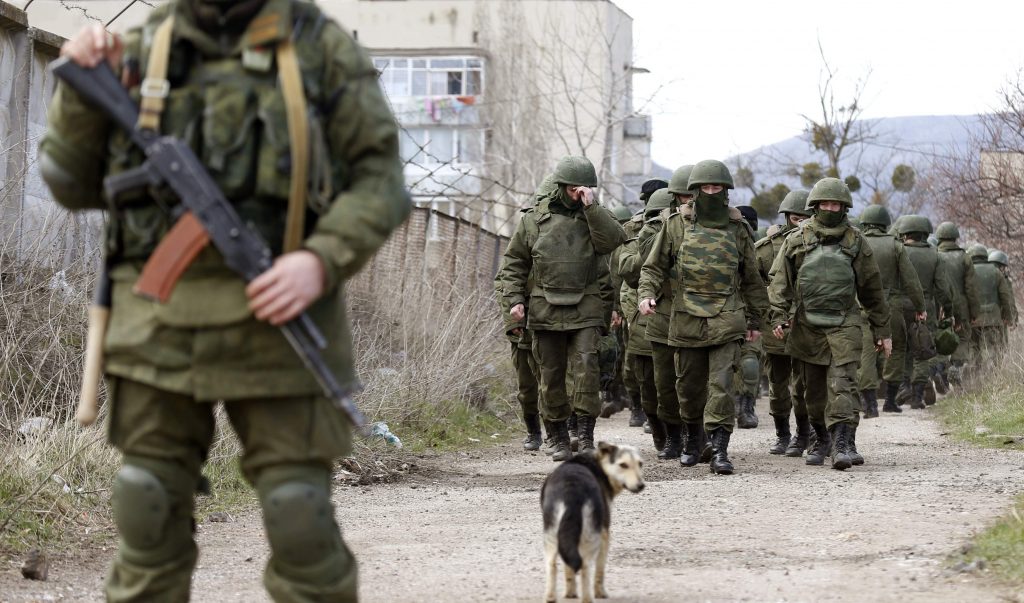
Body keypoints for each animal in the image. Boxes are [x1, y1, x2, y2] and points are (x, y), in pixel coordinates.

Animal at [540, 440, 643, 597]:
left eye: (640, 464)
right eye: (623, 465)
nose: (641, 485)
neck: (599, 464)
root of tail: (571, 489)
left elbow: (568, 568)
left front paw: (570, 593)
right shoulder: (604, 534)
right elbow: (600, 571)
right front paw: (600, 593)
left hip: (551, 535)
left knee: (552, 565)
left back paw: (552, 597)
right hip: (591, 537)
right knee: (586, 568)